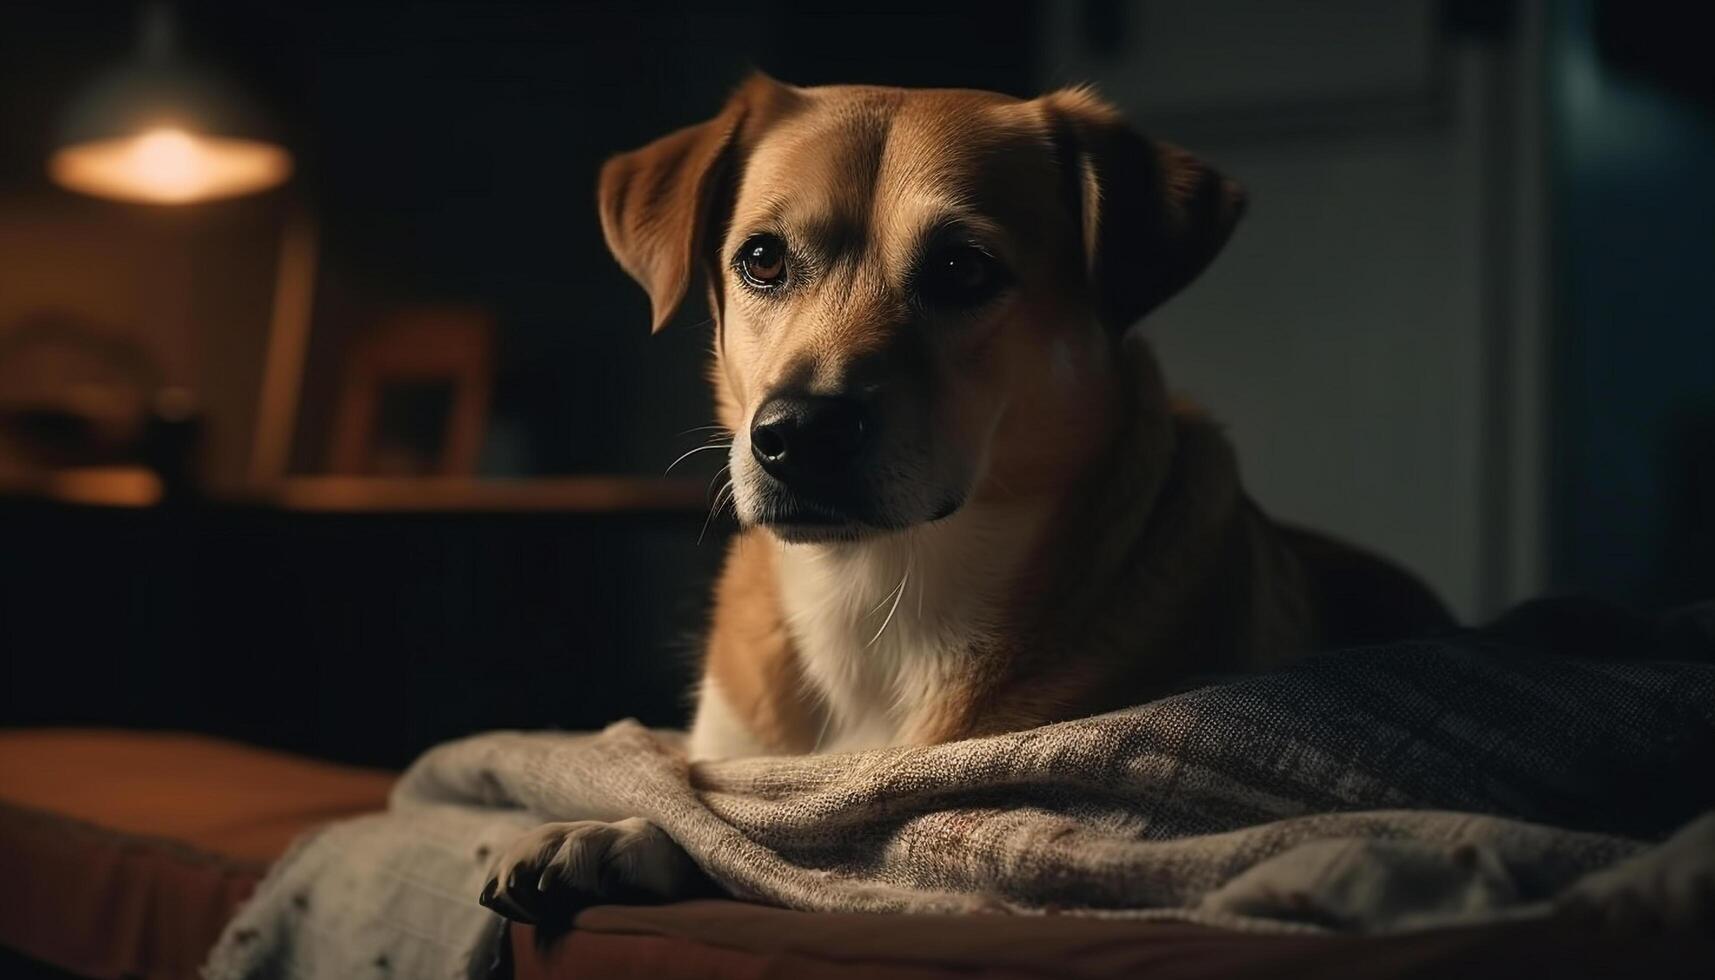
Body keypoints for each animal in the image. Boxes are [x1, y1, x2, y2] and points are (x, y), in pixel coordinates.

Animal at [480, 76, 1447, 926]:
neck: (874, 590)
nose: (797, 433)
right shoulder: (734, 755)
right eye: (762, 258)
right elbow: (705, 804)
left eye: (961, 269)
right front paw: (607, 831)